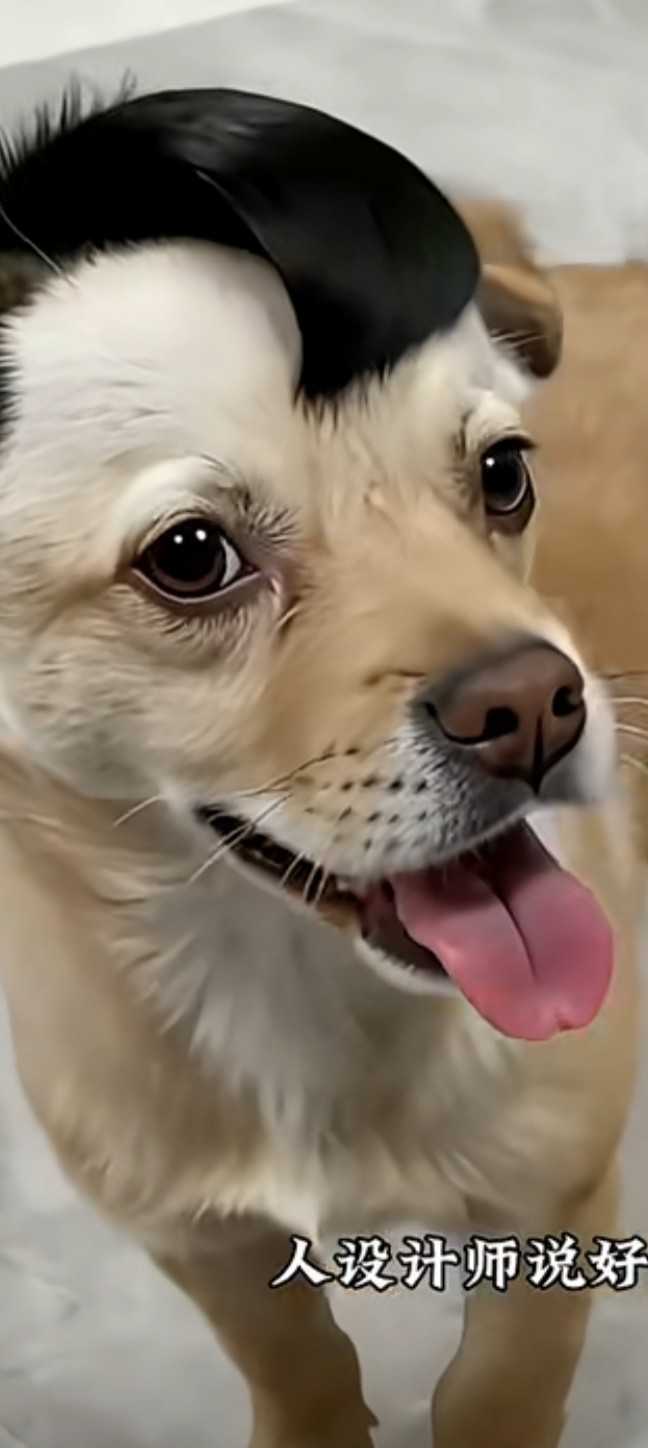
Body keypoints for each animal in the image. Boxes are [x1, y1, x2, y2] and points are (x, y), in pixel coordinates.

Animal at [0, 90, 642, 1448]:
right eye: (190, 555)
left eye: (505, 475)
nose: (536, 706)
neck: (292, 988)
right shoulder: (207, 1243)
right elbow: (297, 1359)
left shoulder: (553, 1214)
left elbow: (493, 1391)